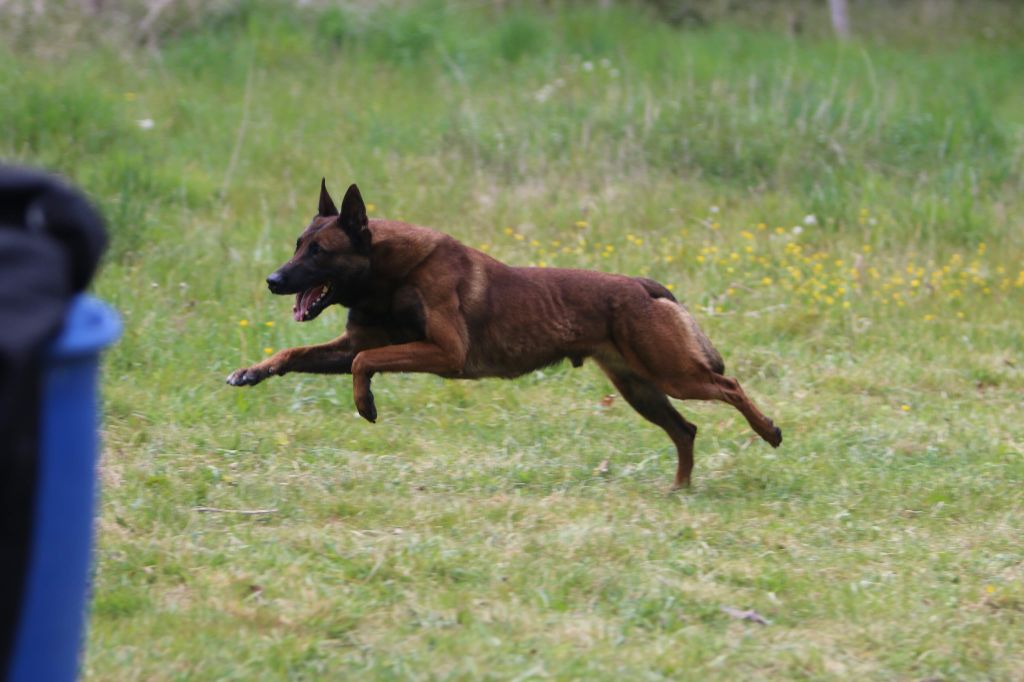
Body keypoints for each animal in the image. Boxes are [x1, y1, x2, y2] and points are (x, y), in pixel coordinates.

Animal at [228, 178, 778, 485]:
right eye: (297, 245)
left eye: (318, 252)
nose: (272, 280)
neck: (390, 273)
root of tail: (641, 286)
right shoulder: (350, 347)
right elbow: (295, 352)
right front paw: (250, 372)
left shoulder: (445, 354)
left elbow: (365, 365)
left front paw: (366, 403)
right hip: (640, 388)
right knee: (686, 430)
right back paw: (680, 489)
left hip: (672, 375)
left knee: (729, 386)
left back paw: (768, 430)